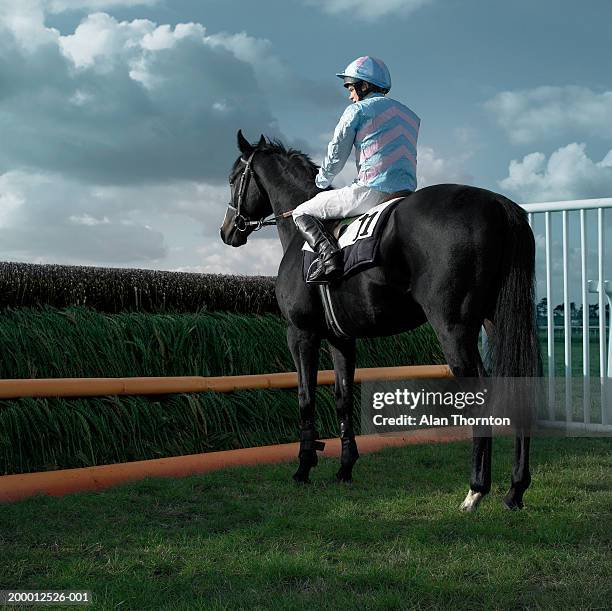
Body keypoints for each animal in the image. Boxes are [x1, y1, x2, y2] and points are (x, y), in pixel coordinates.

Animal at [221, 130, 540, 512]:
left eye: (233, 178)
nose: (227, 230)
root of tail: (498, 204)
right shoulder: (341, 338)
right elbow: (343, 397)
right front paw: (345, 468)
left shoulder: (300, 333)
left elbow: (305, 396)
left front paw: (303, 469)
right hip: (498, 321)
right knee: (521, 382)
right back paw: (515, 490)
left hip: (453, 325)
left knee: (480, 391)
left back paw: (476, 490)